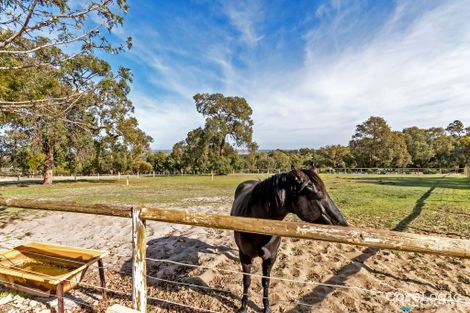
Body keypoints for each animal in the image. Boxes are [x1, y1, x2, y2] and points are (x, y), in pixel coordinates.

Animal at [231, 166, 348, 312]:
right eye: (317, 194)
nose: (344, 224)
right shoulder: (245, 256)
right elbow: (247, 281)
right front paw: (243, 306)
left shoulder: (271, 257)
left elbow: (266, 281)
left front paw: (266, 307)